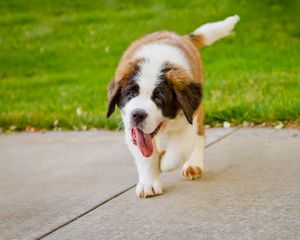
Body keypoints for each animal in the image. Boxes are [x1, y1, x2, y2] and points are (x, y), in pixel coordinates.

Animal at [106, 14, 240, 197]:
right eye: (131, 94)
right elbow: (145, 155)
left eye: (159, 99)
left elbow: (178, 152)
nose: (138, 114)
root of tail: (183, 37)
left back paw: (193, 164)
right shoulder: (130, 128)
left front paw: (163, 160)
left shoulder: (188, 118)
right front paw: (149, 182)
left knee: (199, 135)